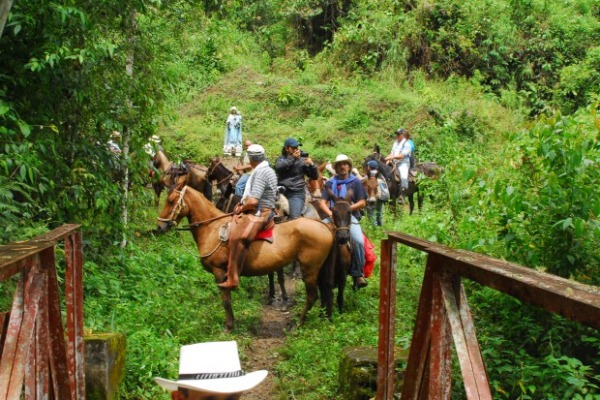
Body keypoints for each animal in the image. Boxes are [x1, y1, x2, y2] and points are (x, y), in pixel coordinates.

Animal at [156, 181, 332, 332]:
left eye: (170, 201)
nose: (160, 226)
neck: (212, 228)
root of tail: (325, 226)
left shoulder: (219, 272)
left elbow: (226, 301)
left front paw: (229, 326)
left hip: (309, 270)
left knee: (312, 296)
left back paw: (299, 324)